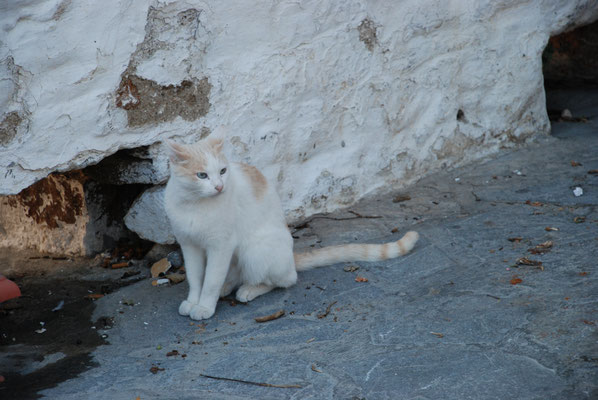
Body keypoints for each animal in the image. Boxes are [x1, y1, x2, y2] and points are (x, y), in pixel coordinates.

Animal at [162, 139, 420, 320]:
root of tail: (291, 257)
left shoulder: (221, 245)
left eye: (223, 171)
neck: (195, 205)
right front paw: (193, 301)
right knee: (236, 274)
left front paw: (205, 306)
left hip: (255, 249)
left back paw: (249, 289)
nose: (219, 186)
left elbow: (211, 281)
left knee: (285, 279)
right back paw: (229, 285)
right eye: (202, 175)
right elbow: (196, 278)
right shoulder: (189, 245)